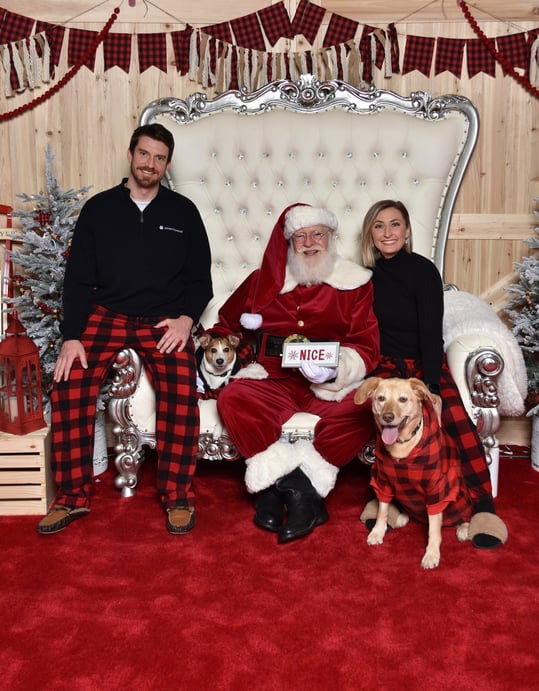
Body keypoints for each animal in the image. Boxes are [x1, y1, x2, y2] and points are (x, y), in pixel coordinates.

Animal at [354, 378, 472, 568]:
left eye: (403, 399)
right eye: (381, 398)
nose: (388, 417)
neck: (400, 446)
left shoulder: (436, 488)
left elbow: (434, 529)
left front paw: (431, 553)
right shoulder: (382, 481)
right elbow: (382, 511)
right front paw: (378, 532)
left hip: (459, 494)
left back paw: (463, 527)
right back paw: (404, 515)